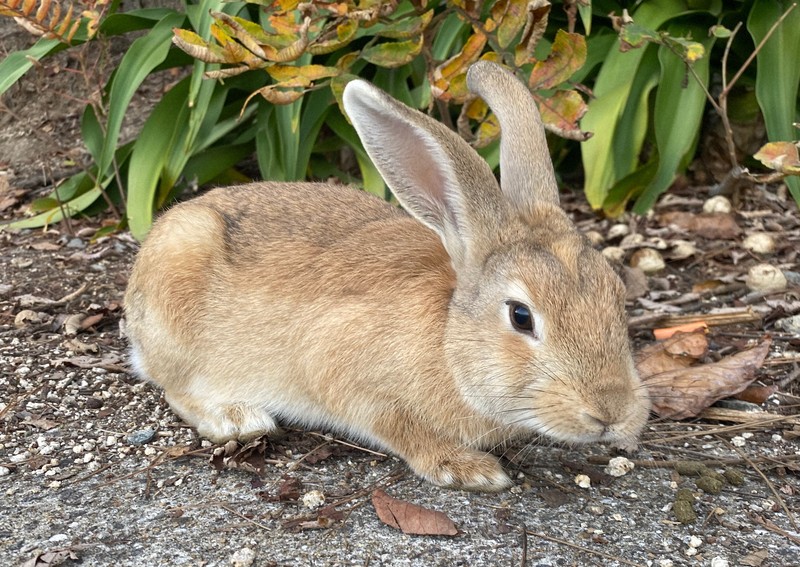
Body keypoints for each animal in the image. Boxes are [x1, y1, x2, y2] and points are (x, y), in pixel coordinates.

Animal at [123, 60, 648, 490]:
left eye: (616, 293)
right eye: (521, 316)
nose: (611, 411)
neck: (448, 343)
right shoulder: (341, 372)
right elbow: (399, 427)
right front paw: (467, 469)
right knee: (175, 386)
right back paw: (237, 419)